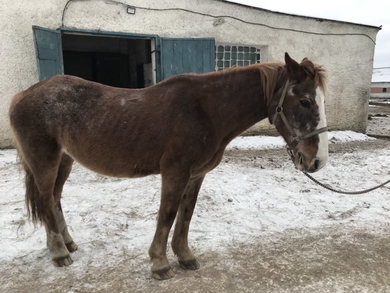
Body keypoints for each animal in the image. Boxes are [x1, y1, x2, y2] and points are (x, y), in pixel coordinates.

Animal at [8, 52, 326, 278]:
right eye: (305, 101)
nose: (317, 161)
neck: (206, 111)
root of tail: (23, 94)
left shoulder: (196, 175)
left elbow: (185, 215)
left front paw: (185, 256)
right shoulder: (175, 172)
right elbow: (168, 214)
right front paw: (160, 264)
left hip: (65, 160)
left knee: (55, 198)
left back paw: (68, 243)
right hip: (45, 161)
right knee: (46, 201)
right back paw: (59, 253)